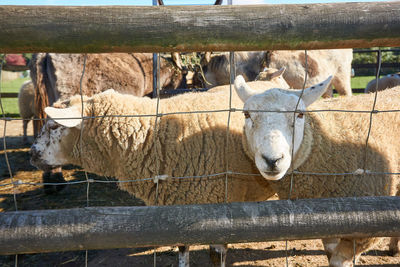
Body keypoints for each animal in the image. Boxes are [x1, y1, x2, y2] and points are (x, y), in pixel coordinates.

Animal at [28, 71, 288, 267]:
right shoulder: (177, 208)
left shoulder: (221, 212)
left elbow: (217, 256)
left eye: (54, 126)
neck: (154, 135)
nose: (32, 153)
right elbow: (182, 249)